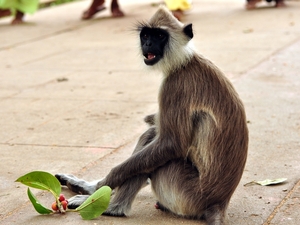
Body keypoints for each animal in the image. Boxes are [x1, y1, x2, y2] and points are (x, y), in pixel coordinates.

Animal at [55, 5, 248, 225]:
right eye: (146, 35)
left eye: (159, 36)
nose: (147, 43)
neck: (184, 62)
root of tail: (219, 203)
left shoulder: (174, 86)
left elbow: (171, 144)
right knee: (151, 135)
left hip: (183, 191)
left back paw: (112, 208)